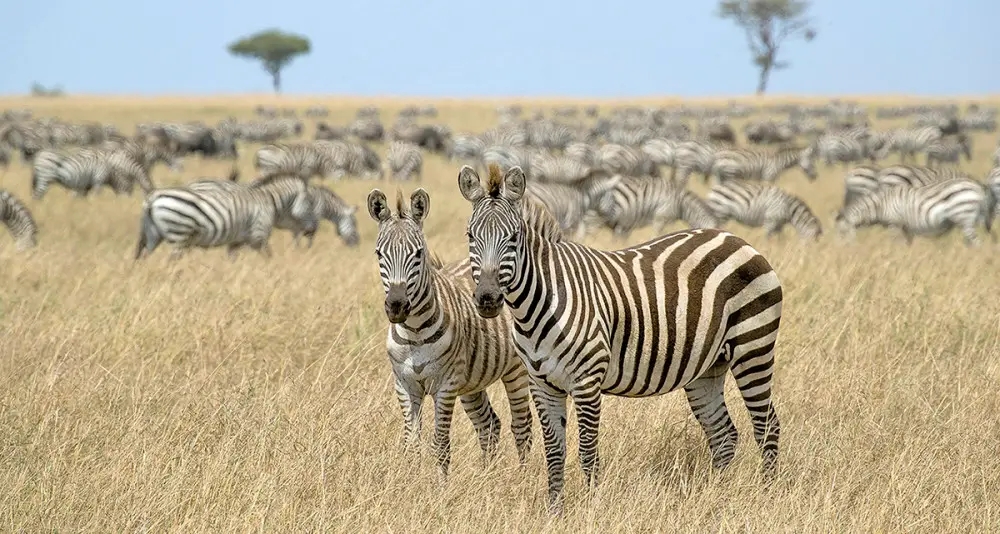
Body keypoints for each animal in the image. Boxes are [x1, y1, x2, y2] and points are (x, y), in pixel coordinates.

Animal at [368, 187, 536, 478]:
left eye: (418, 254)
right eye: (379, 254)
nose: (397, 306)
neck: (414, 332)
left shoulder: (444, 386)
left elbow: (440, 443)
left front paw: (440, 485)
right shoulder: (405, 385)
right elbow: (411, 443)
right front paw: (409, 482)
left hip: (516, 370)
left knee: (521, 426)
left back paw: (523, 478)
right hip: (471, 382)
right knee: (489, 424)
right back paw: (487, 476)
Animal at [836, 179, 992, 248]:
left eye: (842, 233)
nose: (839, 255)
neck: (881, 204)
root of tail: (978, 187)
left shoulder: (894, 223)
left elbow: (896, 245)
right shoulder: (906, 228)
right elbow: (907, 245)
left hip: (964, 216)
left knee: (977, 244)